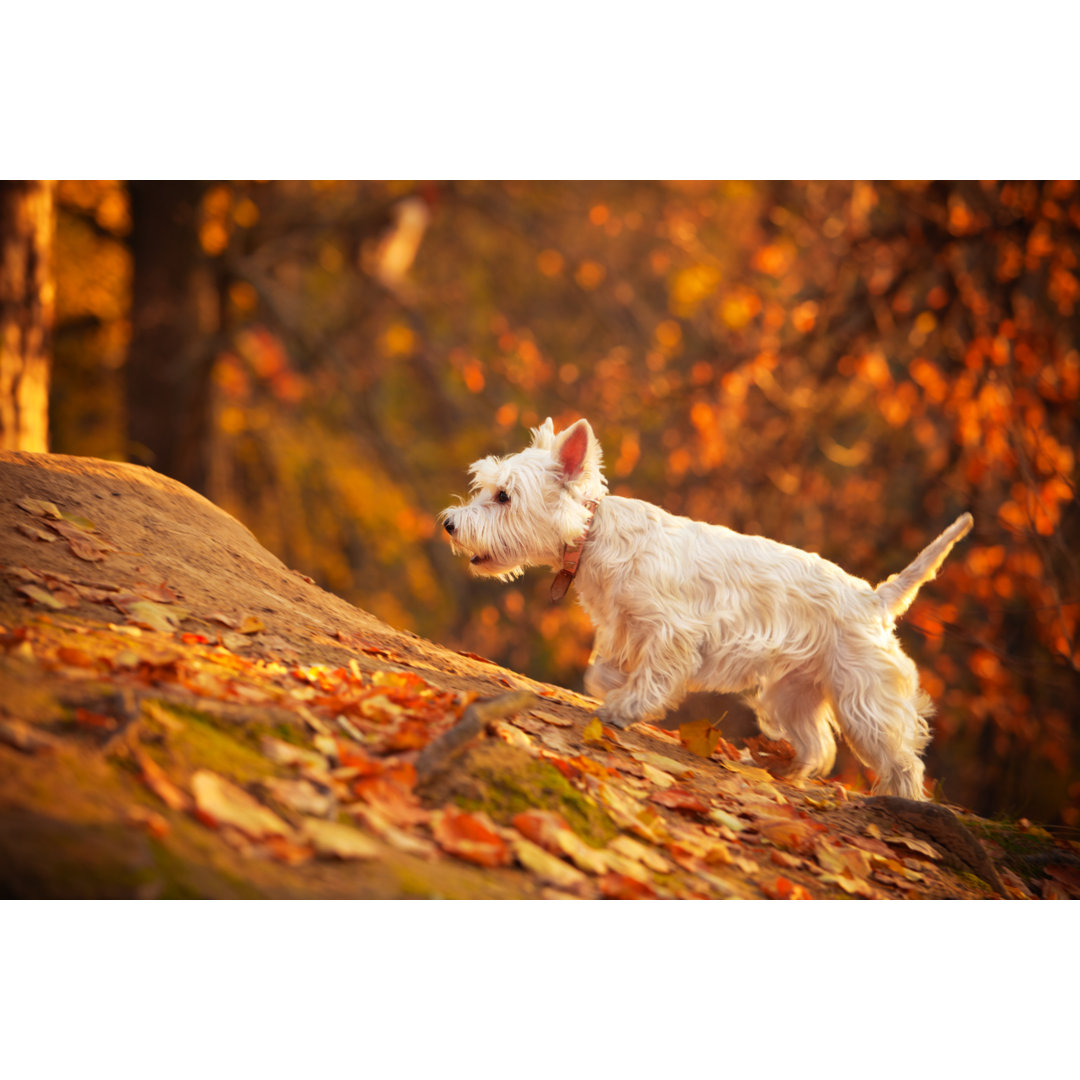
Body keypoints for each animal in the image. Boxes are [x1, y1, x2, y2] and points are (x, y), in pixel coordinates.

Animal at [438, 416, 972, 799]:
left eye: (504, 496)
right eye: (485, 487)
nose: (448, 524)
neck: (592, 539)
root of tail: (874, 597)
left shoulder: (673, 630)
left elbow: (652, 675)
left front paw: (626, 708)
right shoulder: (623, 627)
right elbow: (602, 671)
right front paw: (617, 694)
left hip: (862, 696)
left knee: (903, 758)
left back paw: (901, 803)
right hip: (794, 690)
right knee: (818, 744)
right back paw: (785, 768)